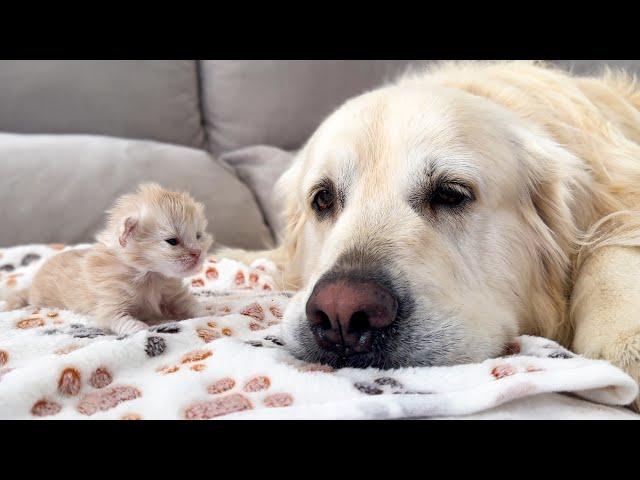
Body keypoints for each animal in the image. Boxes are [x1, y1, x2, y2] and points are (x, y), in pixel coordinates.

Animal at [10, 182, 214, 336]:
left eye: (198, 236)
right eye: (172, 241)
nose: (198, 253)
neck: (149, 275)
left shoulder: (172, 292)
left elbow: (190, 304)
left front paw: (208, 313)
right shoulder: (109, 304)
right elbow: (120, 319)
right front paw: (140, 328)